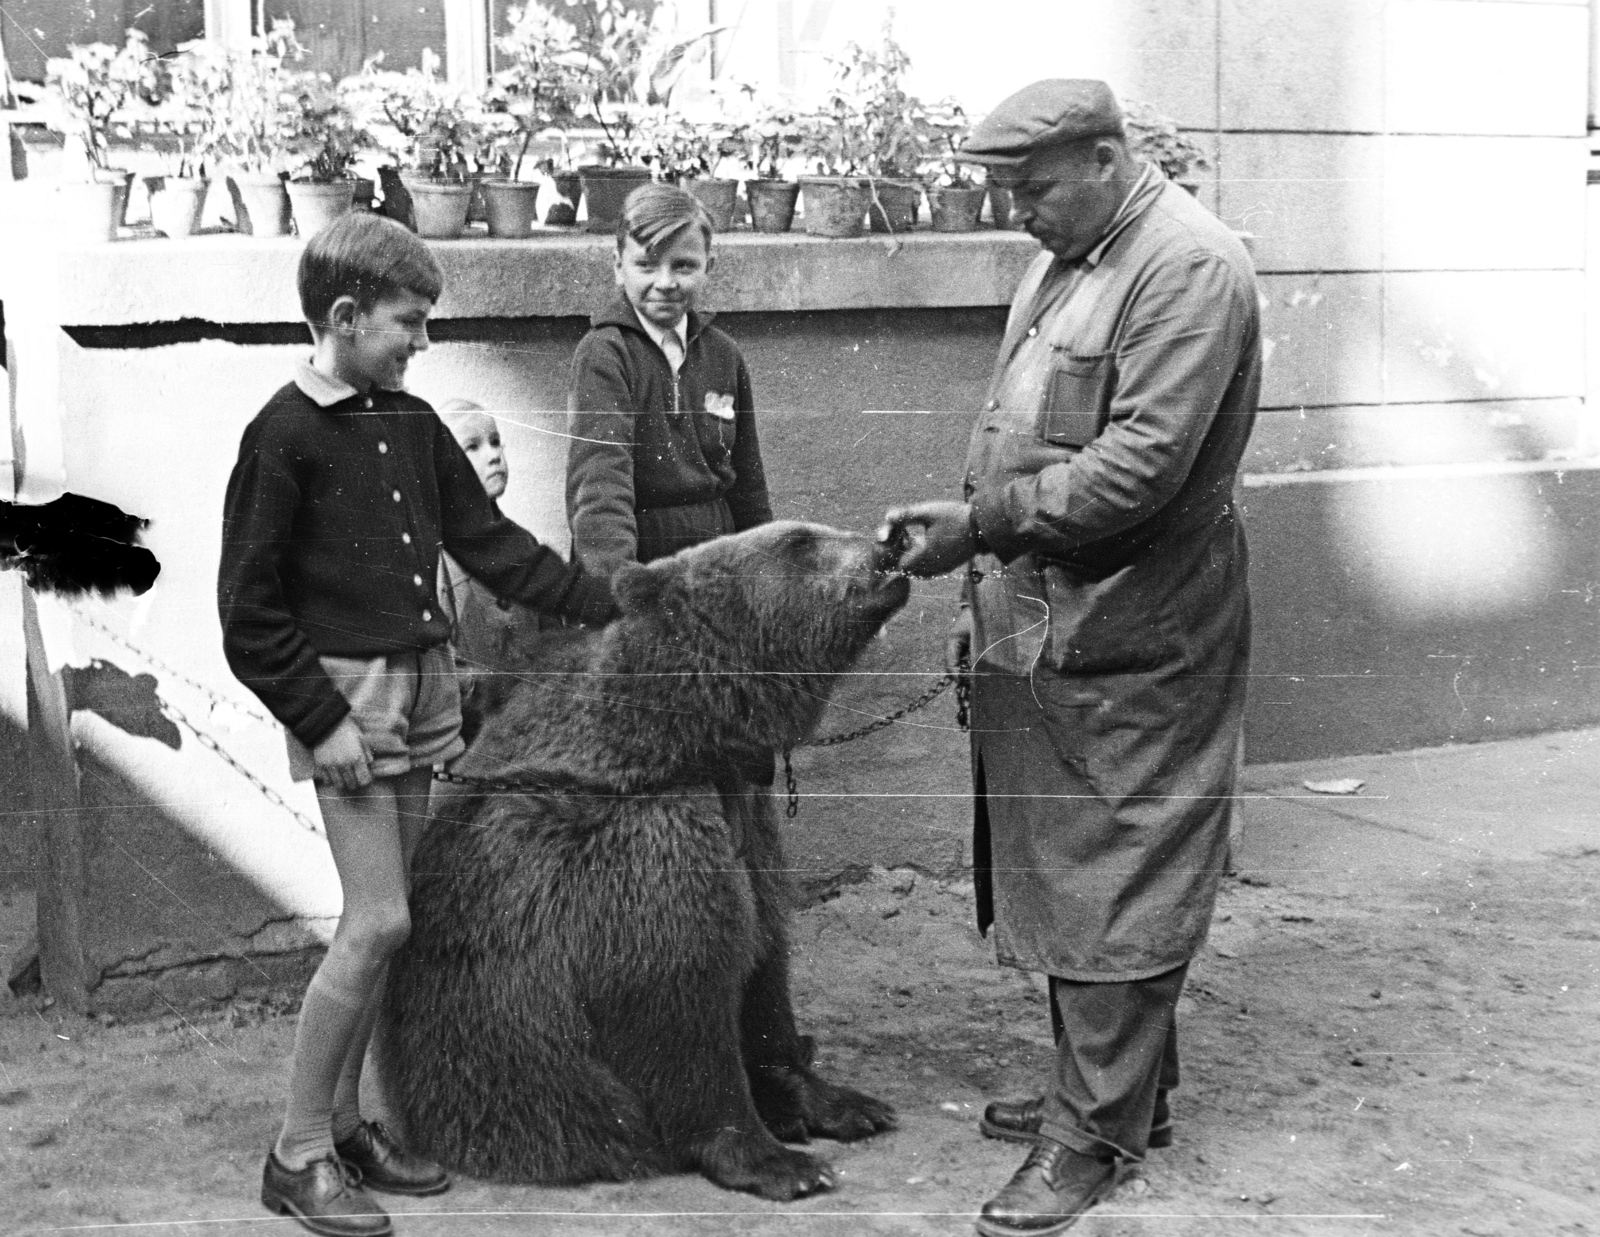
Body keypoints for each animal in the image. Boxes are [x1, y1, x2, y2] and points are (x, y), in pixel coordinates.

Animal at [381, 520, 911, 1200]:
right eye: (799, 540)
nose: (890, 548)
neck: (687, 746)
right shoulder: (643, 850)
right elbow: (677, 995)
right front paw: (777, 1161)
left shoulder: (747, 824)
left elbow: (766, 962)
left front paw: (840, 1102)